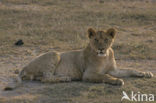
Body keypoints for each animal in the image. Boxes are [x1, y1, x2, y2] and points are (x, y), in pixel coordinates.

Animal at [3, 28, 154, 90]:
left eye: (106, 40)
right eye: (95, 40)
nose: (101, 49)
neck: (105, 56)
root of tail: (25, 66)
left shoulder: (114, 70)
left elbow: (130, 69)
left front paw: (145, 73)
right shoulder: (88, 74)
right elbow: (104, 76)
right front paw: (117, 81)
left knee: (42, 78)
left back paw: (62, 77)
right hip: (54, 53)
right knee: (45, 78)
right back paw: (64, 78)